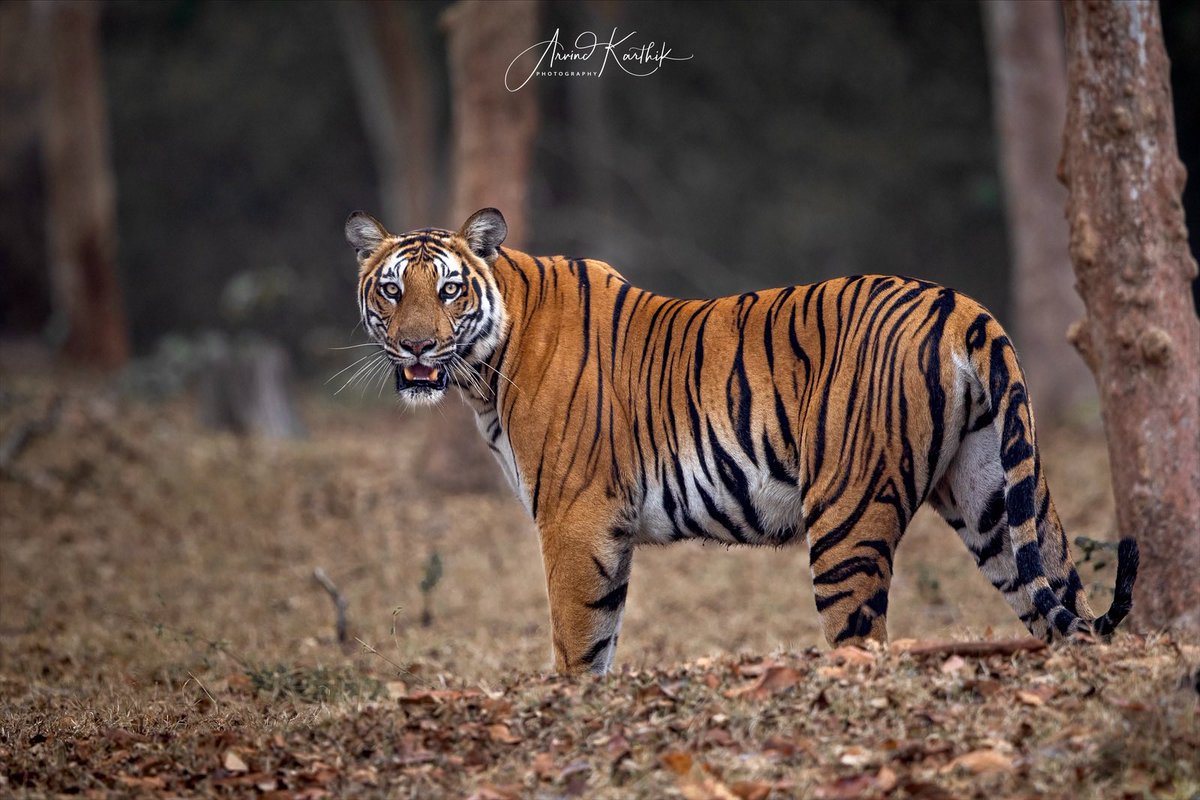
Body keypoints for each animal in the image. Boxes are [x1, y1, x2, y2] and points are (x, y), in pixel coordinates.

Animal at [345, 207, 1140, 676]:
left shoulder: (575, 519)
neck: (485, 367)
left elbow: (577, 643)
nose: (417, 347)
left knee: (863, 640)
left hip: (847, 511)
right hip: (992, 499)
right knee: (1062, 601)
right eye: (392, 289)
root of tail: (963, 305)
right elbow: (599, 636)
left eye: (449, 290)